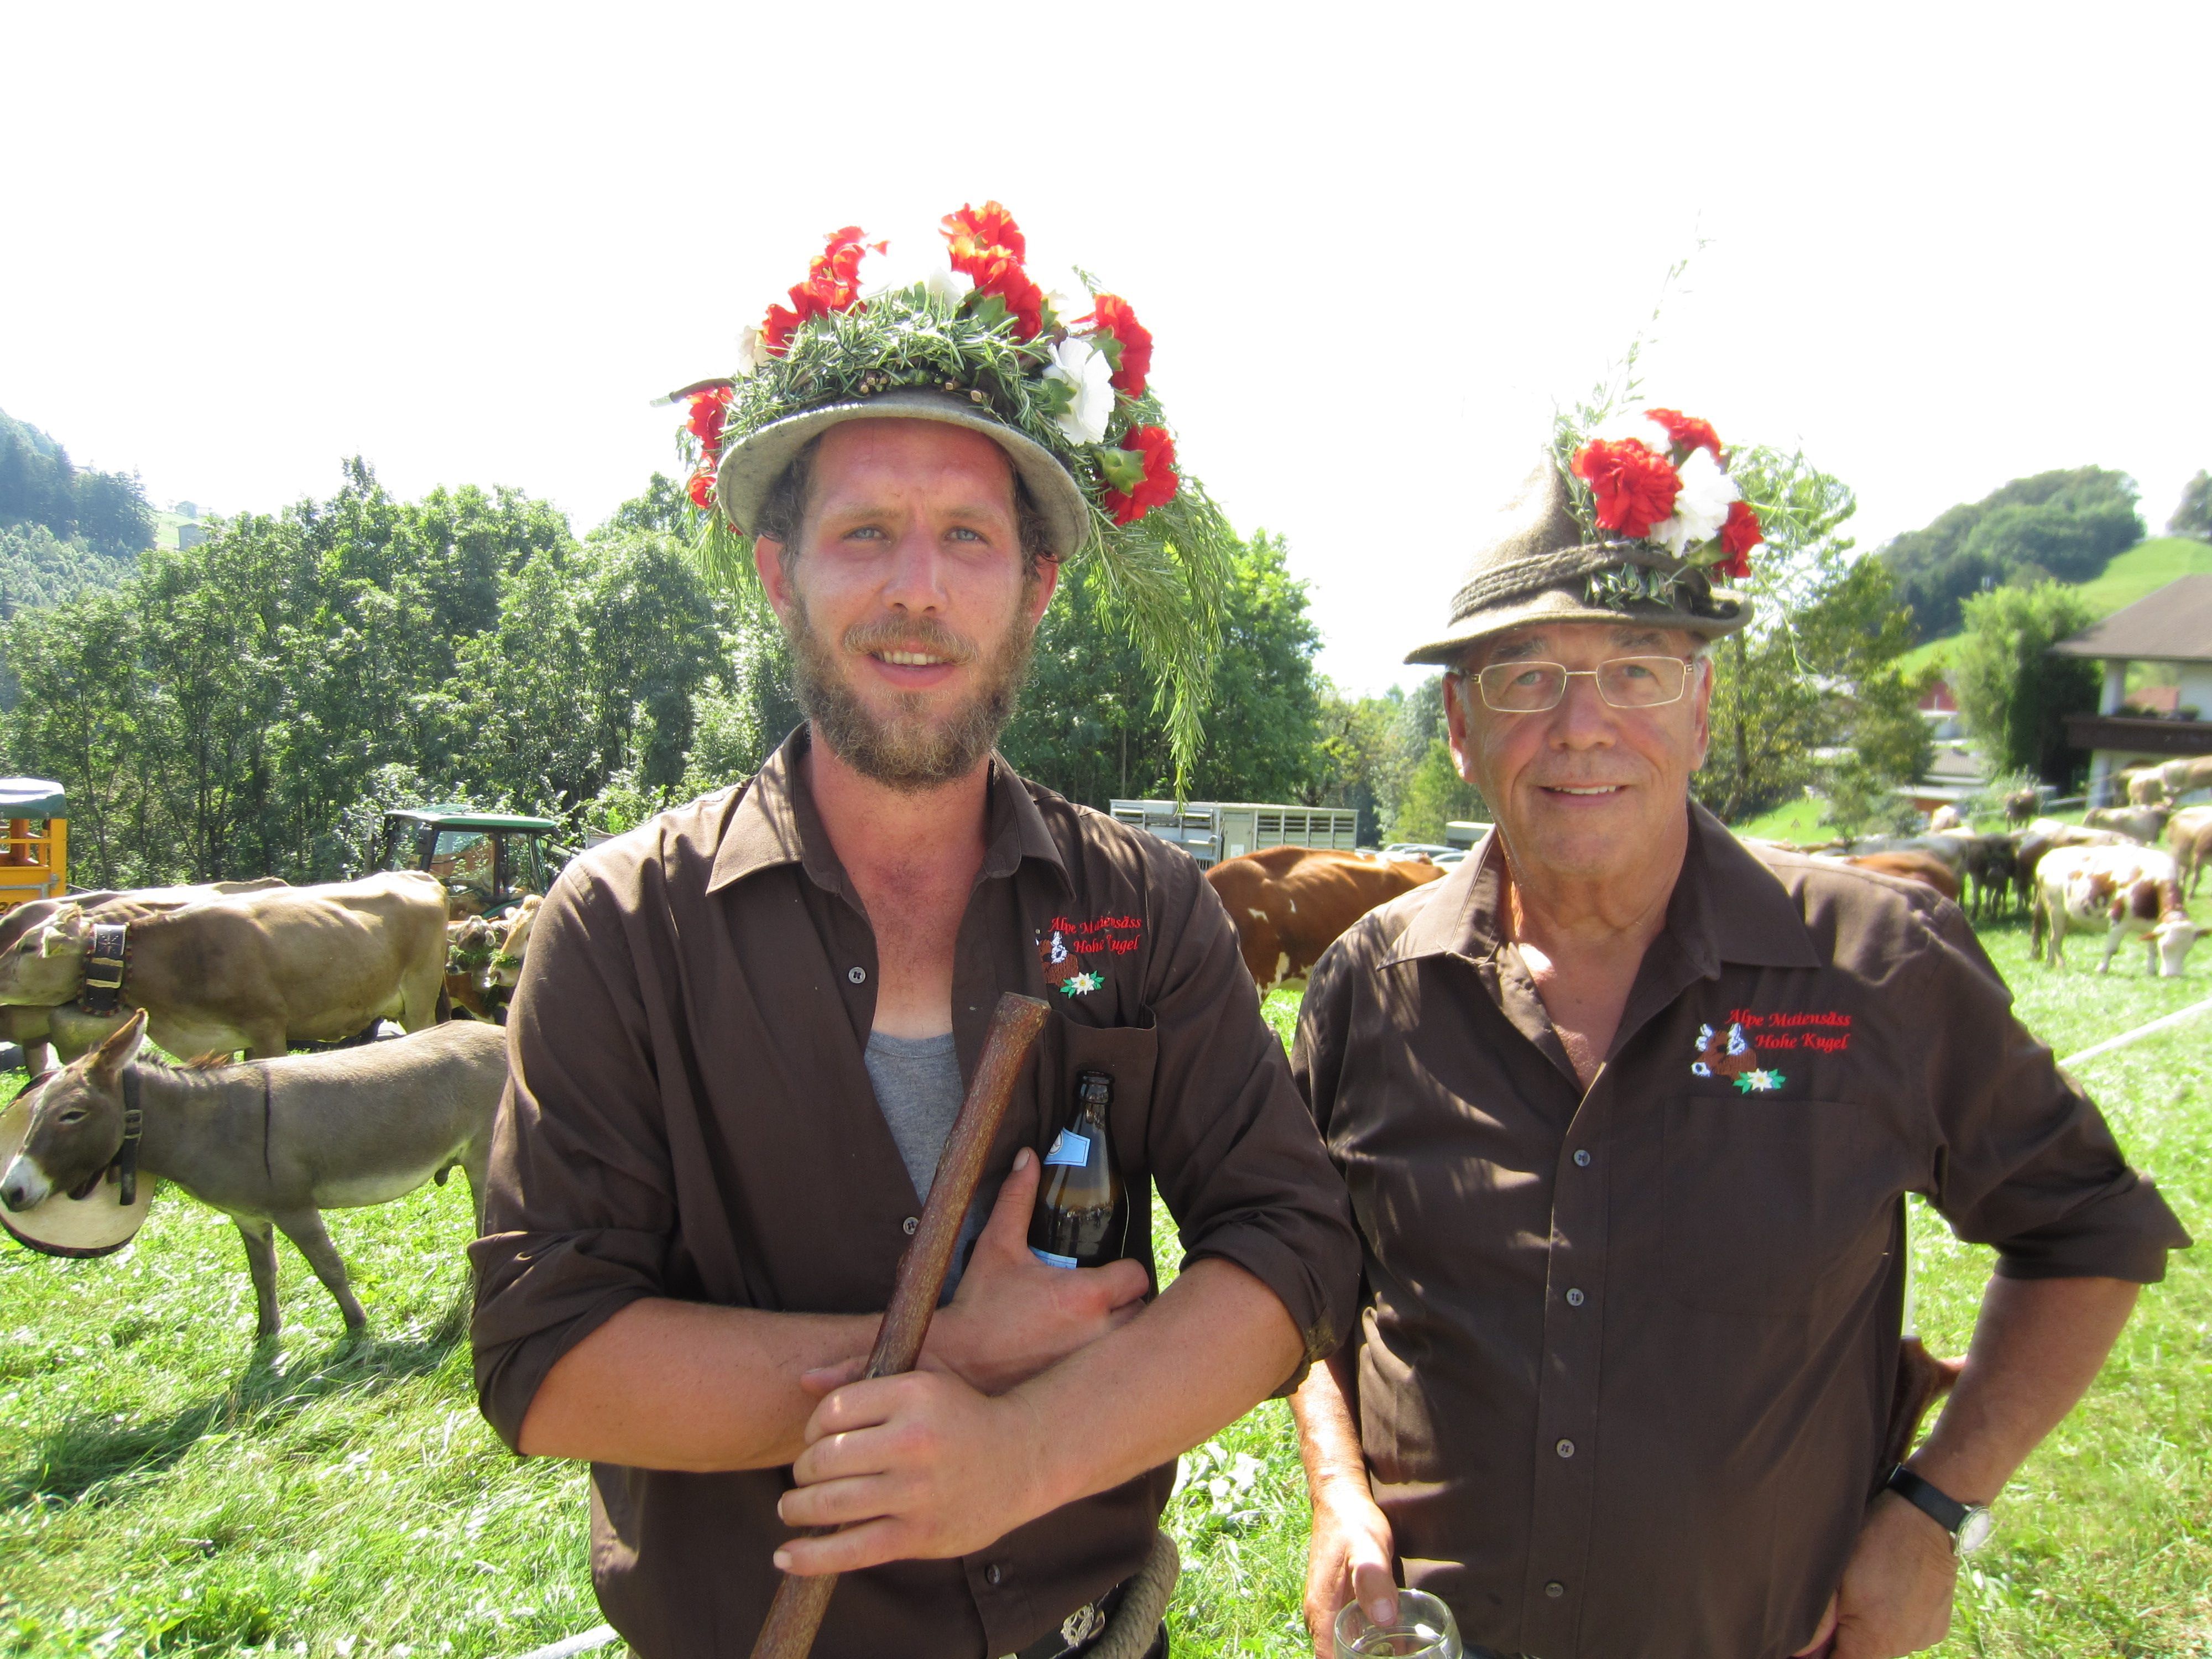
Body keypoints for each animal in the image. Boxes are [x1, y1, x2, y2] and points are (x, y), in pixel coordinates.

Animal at [0, 1013, 507, 1336]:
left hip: (485, 1158)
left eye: (72, 1115)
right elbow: (262, 1275)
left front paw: (357, 1326)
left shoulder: (294, 1207)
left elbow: (329, 1268)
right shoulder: (248, 1217)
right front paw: (266, 1335)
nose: (11, 1192)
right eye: (35, 1112)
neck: (211, 1126)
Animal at [2035, 845, 2194, 973]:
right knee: (2056, 937)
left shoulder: (2152, 925)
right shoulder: (2118, 919)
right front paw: (2102, 969)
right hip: (2056, 910)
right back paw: (2061, 964)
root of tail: (2050, 856)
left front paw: (2151, 971)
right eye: (2166, 947)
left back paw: (2050, 963)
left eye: (2188, 950)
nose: (2173, 975)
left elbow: (2152, 948)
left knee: (2052, 936)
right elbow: (2112, 948)